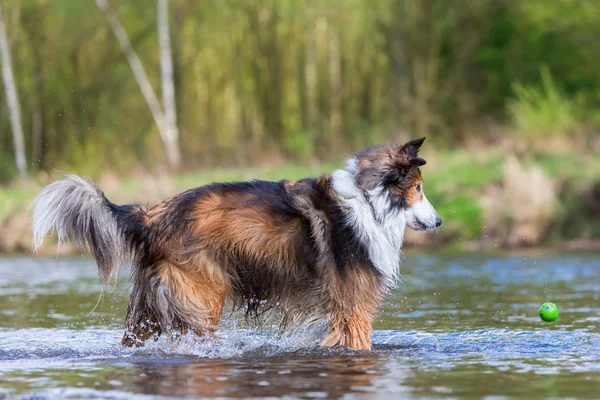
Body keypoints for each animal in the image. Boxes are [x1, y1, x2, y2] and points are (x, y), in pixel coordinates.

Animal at [31, 138, 440, 350]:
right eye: (419, 187)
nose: (439, 222)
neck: (370, 203)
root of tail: (150, 216)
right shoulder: (354, 308)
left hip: (147, 309)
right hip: (201, 299)